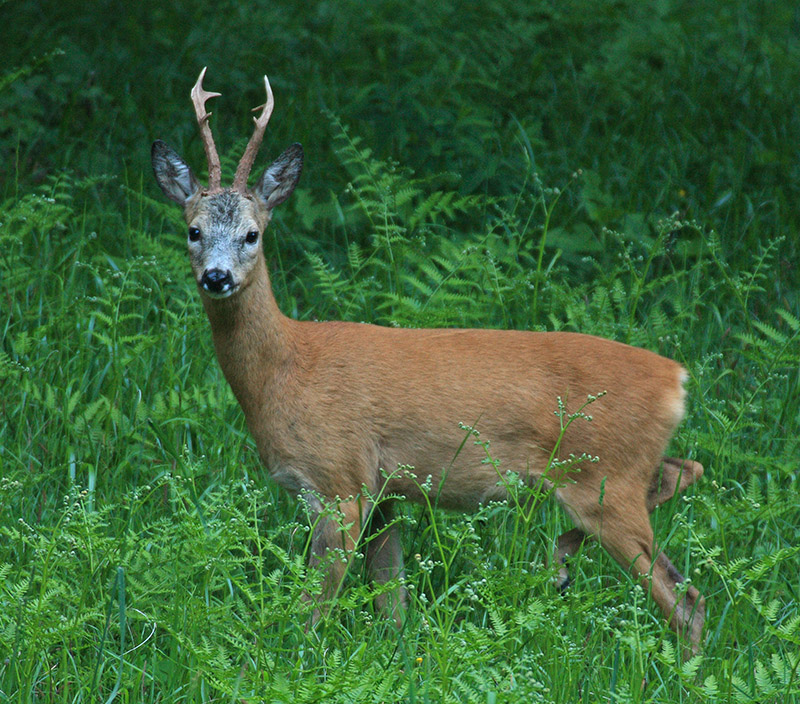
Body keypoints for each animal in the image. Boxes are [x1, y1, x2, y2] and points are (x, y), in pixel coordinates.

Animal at [152, 67, 708, 656]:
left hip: (605, 477)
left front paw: (281, 661)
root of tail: (676, 378)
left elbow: (310, 609)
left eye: (252, 234)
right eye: (192, 230)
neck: (285, 370)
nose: (217, 277)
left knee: (685, 597)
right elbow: (391, 600)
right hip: (621, 469)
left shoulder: (338, 480)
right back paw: (562, 564)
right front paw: (397, 654)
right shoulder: (382, 490)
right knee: (683, 475)